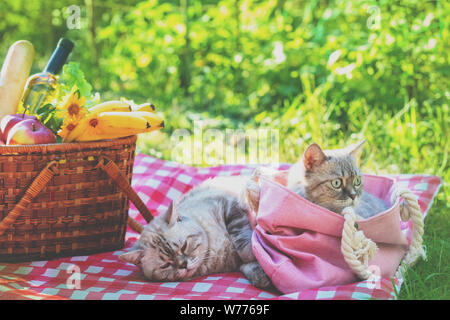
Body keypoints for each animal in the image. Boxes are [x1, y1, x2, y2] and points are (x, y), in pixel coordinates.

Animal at [118, 176, 270, 288]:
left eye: (184, 246)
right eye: (166, 265)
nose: (183, 265)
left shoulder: (229, 205)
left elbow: (242, 242)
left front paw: (253, 254)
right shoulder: (237, 263)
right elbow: (249, 266)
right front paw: (261, 277)